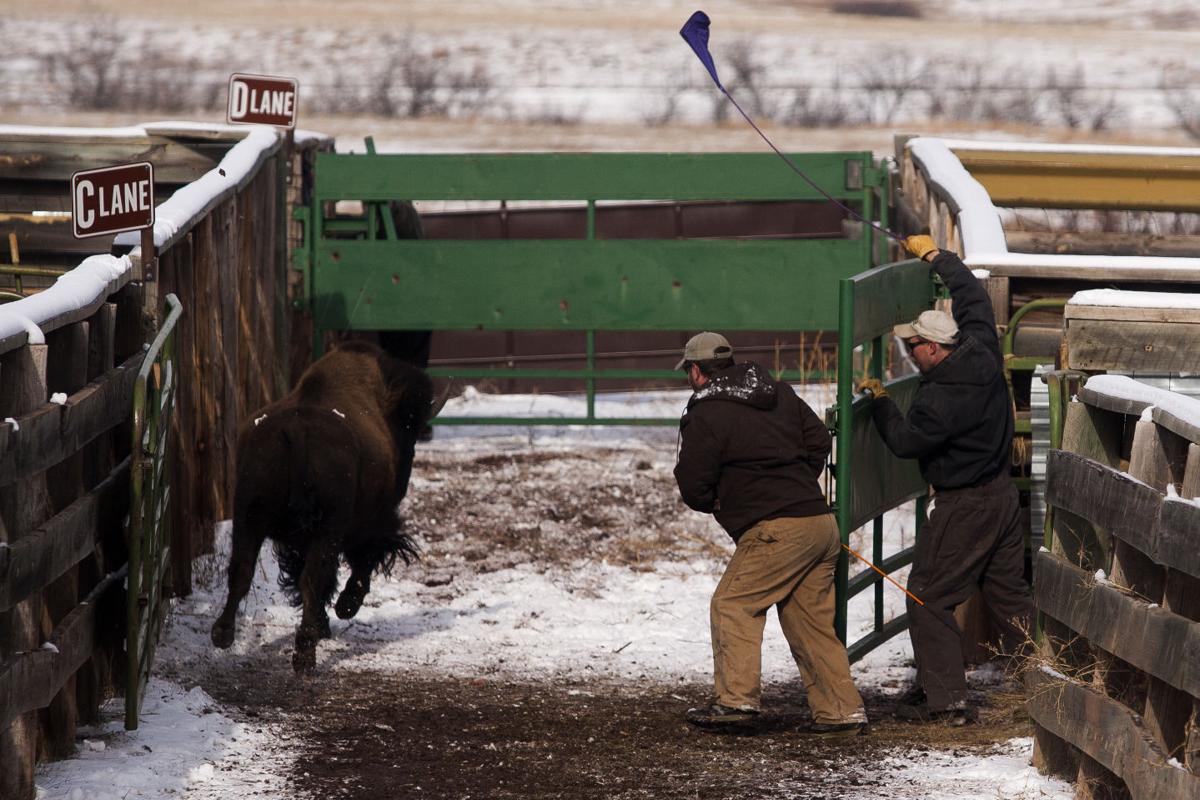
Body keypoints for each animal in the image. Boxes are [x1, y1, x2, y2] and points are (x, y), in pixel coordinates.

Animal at [211, 340, 433, 671]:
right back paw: (306, 653)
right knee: (314, 578)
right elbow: (362, 563)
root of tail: (297, 431)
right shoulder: (370, 524)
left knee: (242, 570)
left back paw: (222, 634)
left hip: (249, 516)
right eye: (408, 423)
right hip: (326, 529)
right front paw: (343, 610)